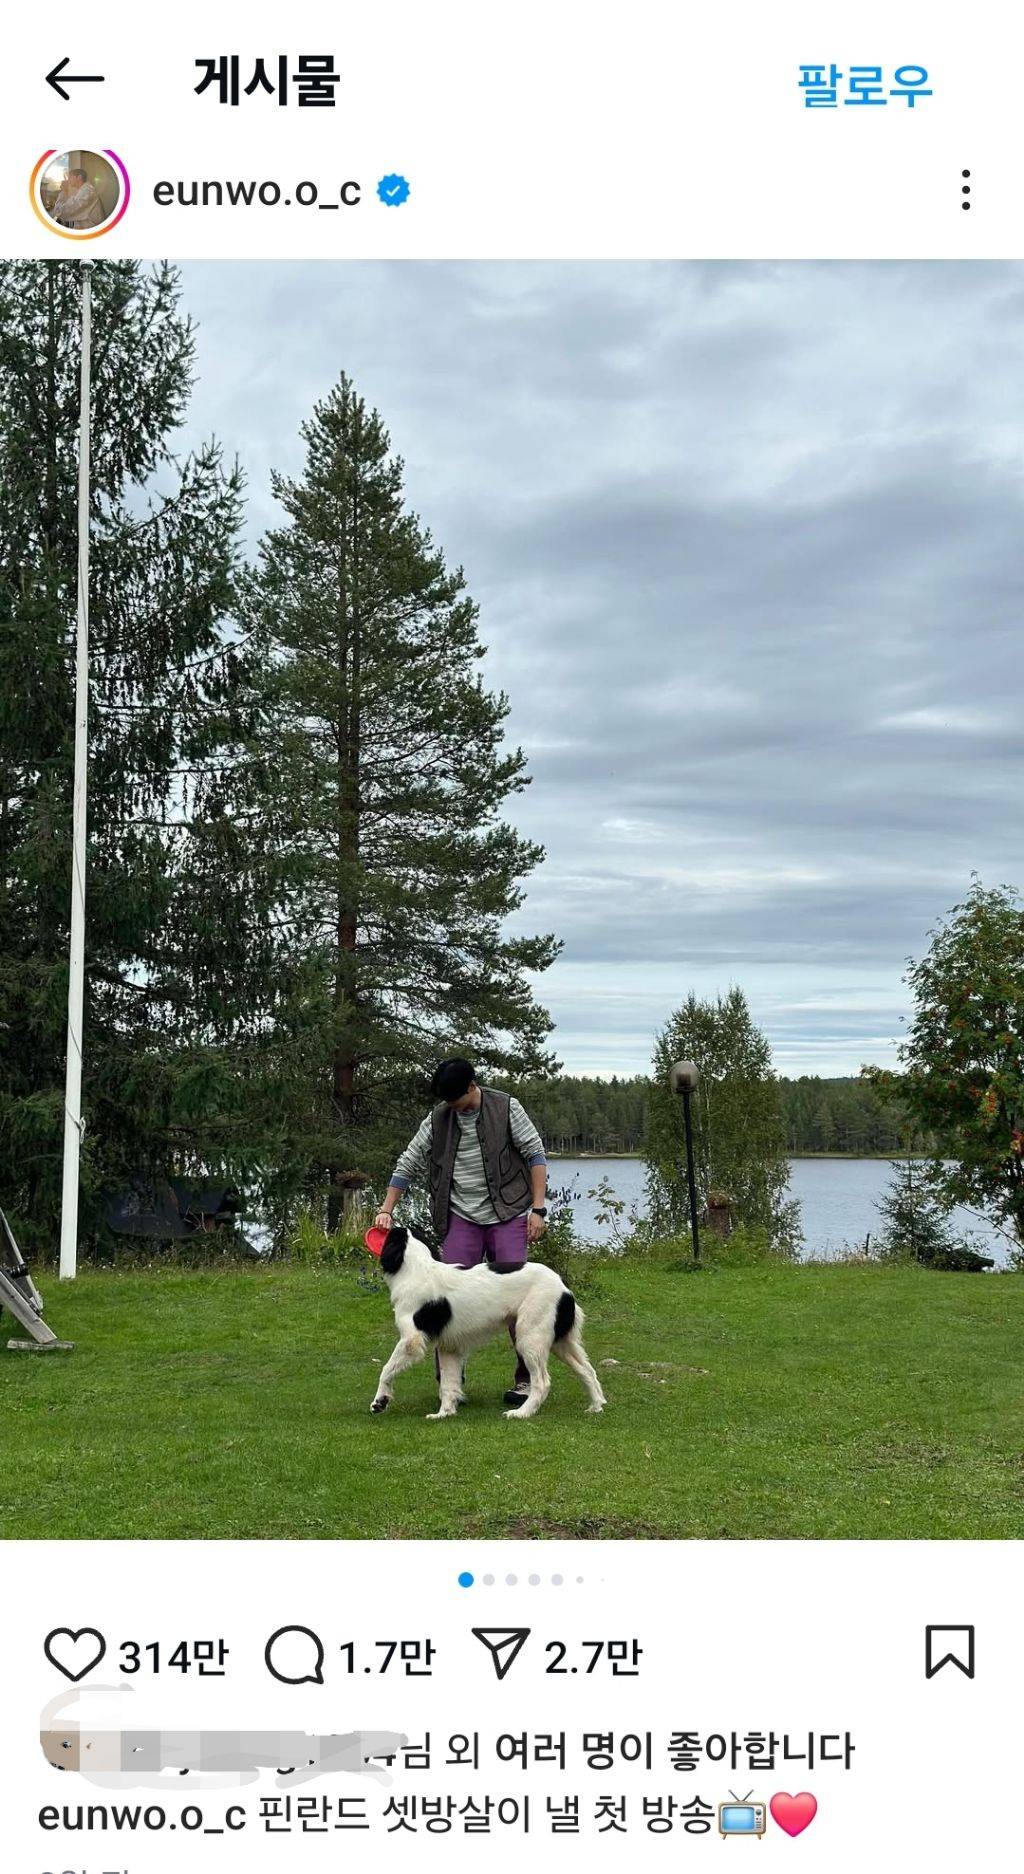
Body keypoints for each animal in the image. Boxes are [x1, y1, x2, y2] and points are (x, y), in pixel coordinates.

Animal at [369, 1229, 600, 1416]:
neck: (415, 1269)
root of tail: (563, 1287)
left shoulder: (412, 1340)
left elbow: (386, 1369)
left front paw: (380, 1402)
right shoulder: (449, 1347)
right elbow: (448, 1383)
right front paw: (444, 1413)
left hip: (530, 1337)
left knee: (542, 1383)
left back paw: (522, 1413)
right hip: (560, 1341)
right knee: (587, 1370)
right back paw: (596, 1406)